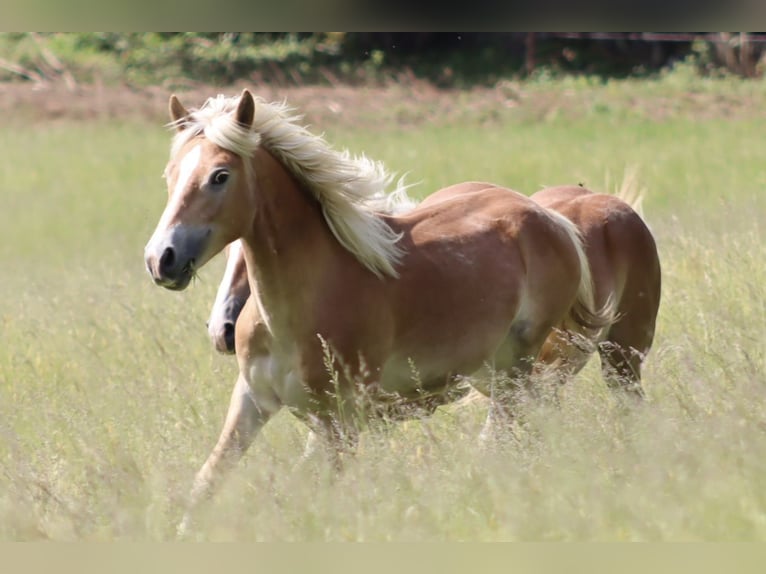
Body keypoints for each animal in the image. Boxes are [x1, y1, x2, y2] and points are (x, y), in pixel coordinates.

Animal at [143, 89, 612, 533]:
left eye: (219, 176)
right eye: (170, 174)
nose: (160, 259)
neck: (297, 311)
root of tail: (551, 219)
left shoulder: (341, 418)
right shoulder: (252, 399)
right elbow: (209, 480)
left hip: (515, 365)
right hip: (493, 372)